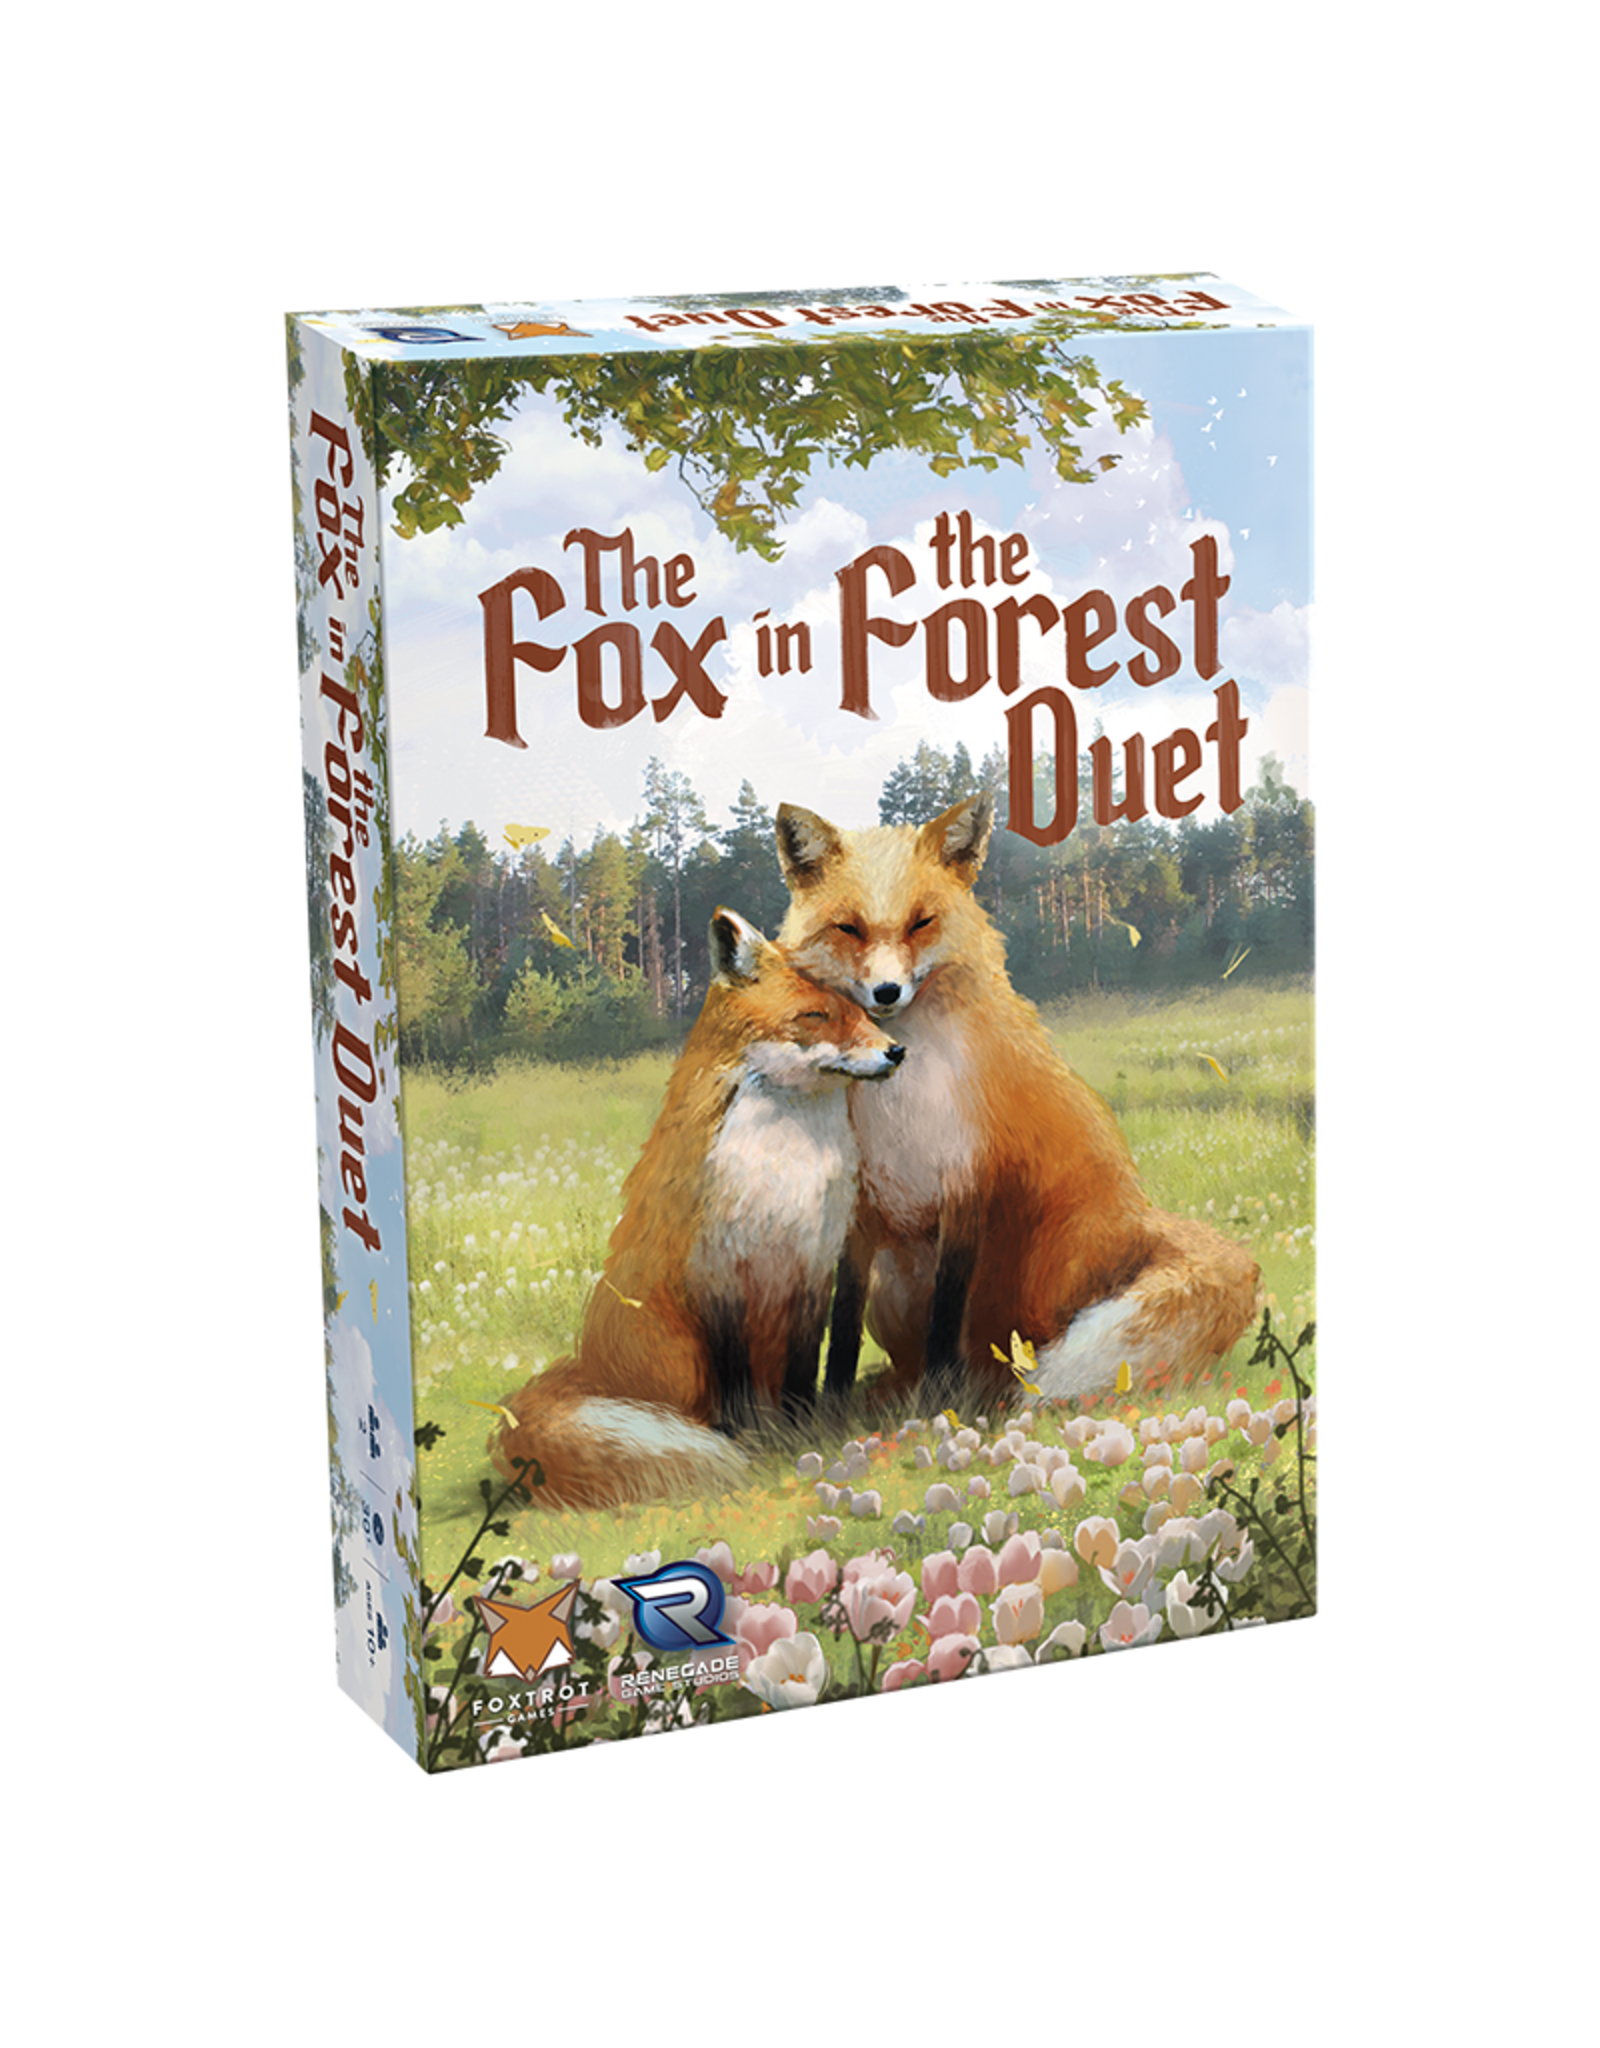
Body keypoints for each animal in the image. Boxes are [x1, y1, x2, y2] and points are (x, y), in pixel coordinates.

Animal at [490, 907, 905, 1510]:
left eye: (862, 1012)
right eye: (815, 1016)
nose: (897, 1051)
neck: (783, 1169)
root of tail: (585, 1366)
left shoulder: (811, 1267)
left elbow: (805, 1369)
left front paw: (803, 1433)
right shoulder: (716, 1271)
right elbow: (733, 1385)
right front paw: (748, 1443)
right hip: (680, 1353)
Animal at [774, 793, 1261, 1408]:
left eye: (921, 922)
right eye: (848, 929)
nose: (886, 992)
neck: (902, 1100)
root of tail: (1142, 1220)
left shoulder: (966, 1183)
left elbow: (947, 1313)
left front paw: (940, 1397)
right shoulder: (861, 1206)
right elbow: (841, 1321)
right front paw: (828, 1404)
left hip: (1047, 1262)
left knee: (1011, 1347)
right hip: (895, 1280)